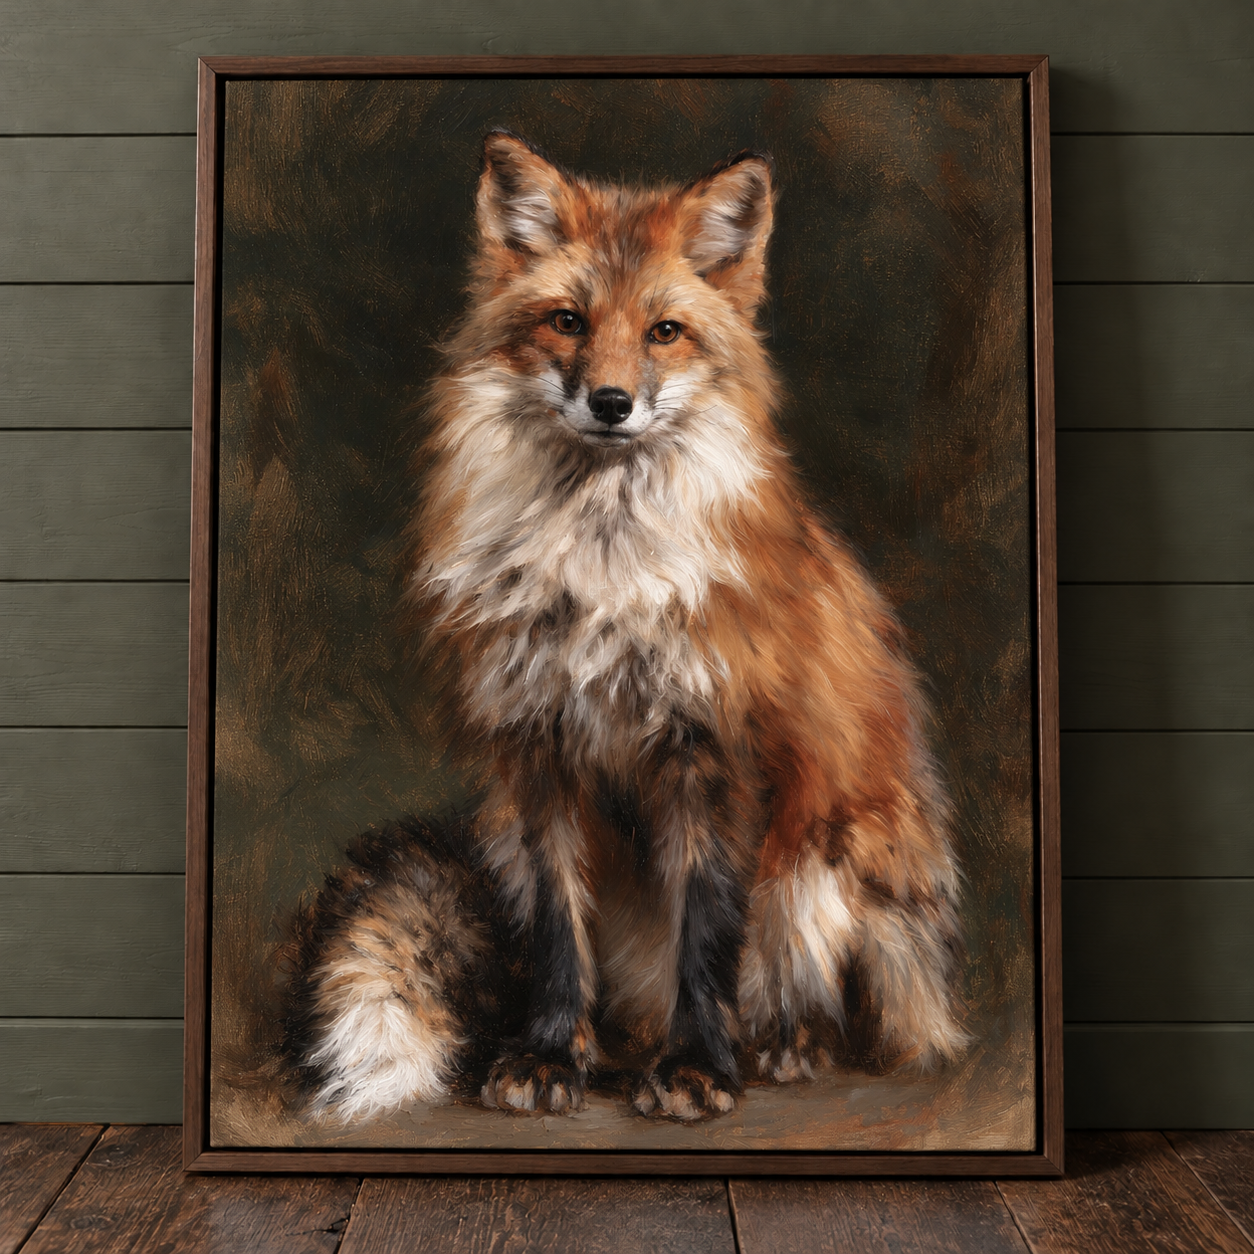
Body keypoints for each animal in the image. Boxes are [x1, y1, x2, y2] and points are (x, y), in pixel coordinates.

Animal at [282, 131, 967, 1124]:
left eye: (664, 332)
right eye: (568, 321)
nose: (610, 402)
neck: (600, 574)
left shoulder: (714, 755)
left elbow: (707, 941)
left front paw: (698, 1068)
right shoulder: (537, 755)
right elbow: (558, 935)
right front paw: (548, 1056)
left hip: (830, 862)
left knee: (813, 994)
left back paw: (779, 1046)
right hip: (504, 834)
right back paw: (615, 1048)